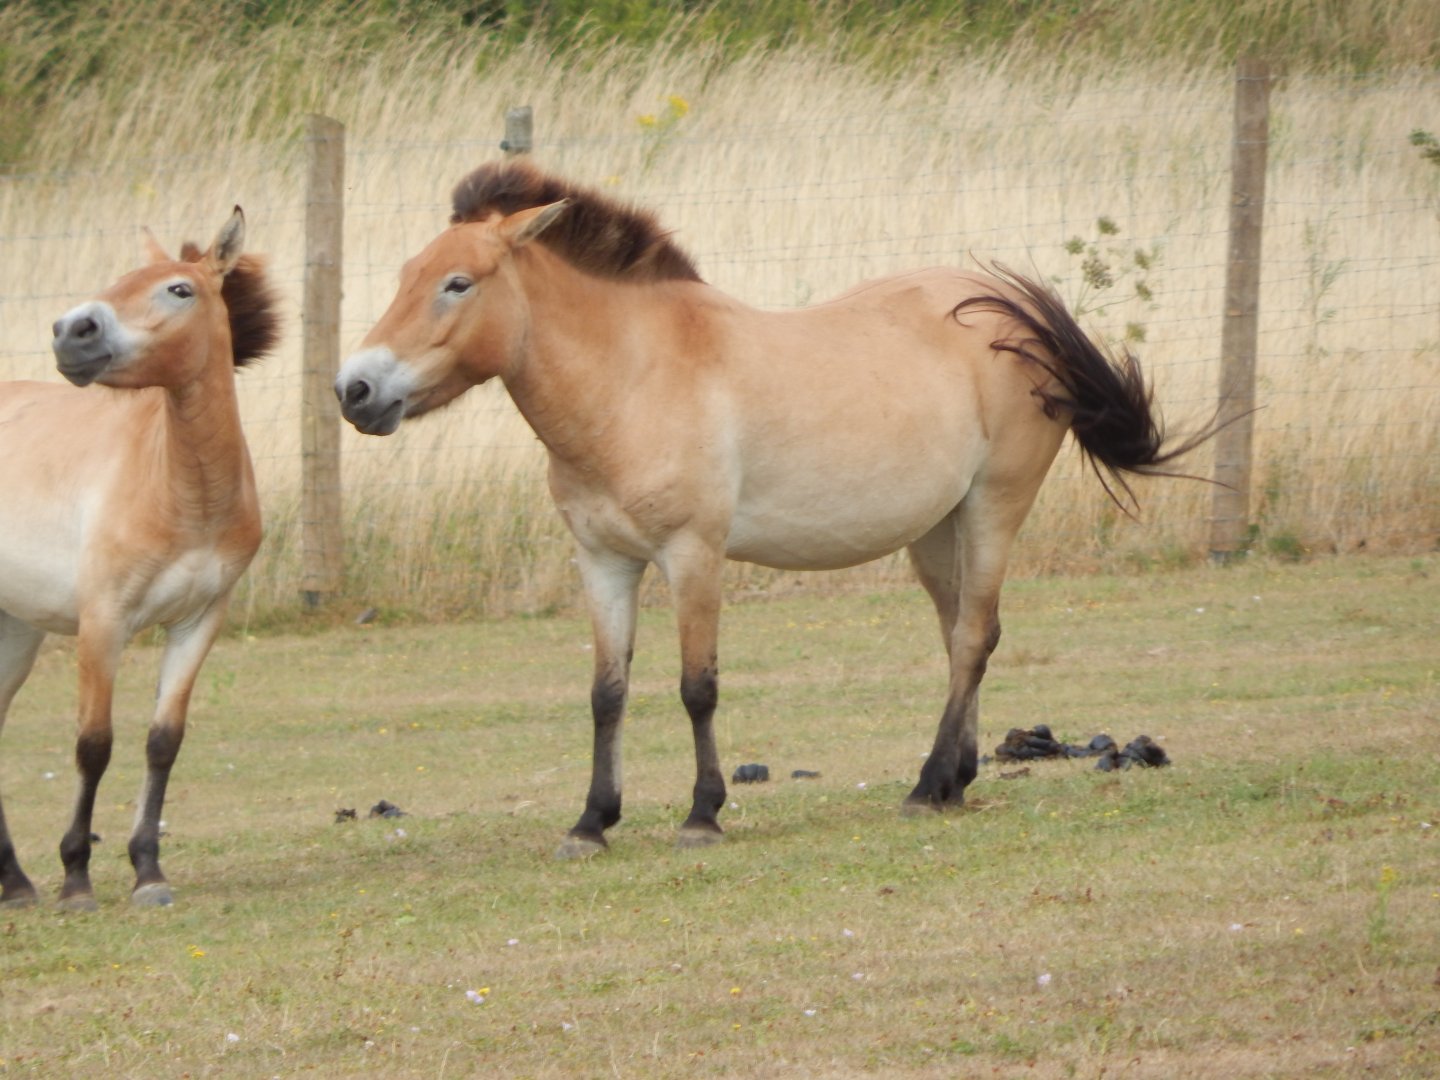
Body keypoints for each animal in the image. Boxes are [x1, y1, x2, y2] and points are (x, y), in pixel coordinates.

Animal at [0, 208, 279, 908]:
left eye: (178, 290)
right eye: (120, 279)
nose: (72, 332)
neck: (182, 490)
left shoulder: (199, 622)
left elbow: (163, 741)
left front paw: (148, 871)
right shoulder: (103, 625)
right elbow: (93, 744)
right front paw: (76, 877)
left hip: (14, 630)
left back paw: (14, 881)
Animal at [334, 161, 1210, 859]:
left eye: (458, 283)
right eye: (407, 275)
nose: (356, 389)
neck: (631, 378)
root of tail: (1004, 308)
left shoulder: (692, 555)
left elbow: (697, 686)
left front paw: (701, 814)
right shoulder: (604, 562)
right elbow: (606, 692)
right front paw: (591, 822)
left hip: (995, 506)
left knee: (972, 636)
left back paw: (926, 786)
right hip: (936, 529)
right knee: (962, 634)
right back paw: (953, 779)